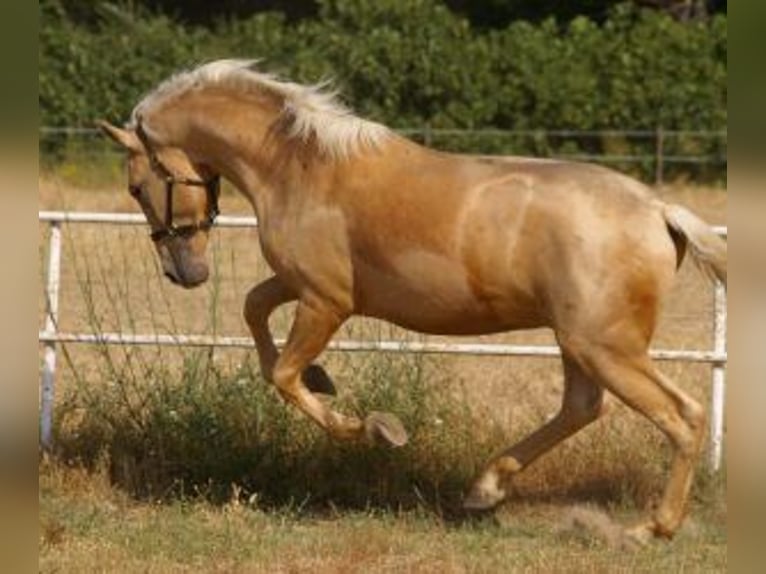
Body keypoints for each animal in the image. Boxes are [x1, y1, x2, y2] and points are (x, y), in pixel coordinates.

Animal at [99, 59, 726, 544]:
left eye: (136, 186)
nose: (182, 271)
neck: (299, 168)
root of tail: (659, 210)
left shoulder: (326, 301)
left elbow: (283, 376)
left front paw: (378, 428)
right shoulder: (303, 286)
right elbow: (254, 309)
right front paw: (325, 377)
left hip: (605, 346)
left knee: (683, 416)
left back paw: (651, 529)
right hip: (578, 342)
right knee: (582, 408)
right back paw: (484, 490)